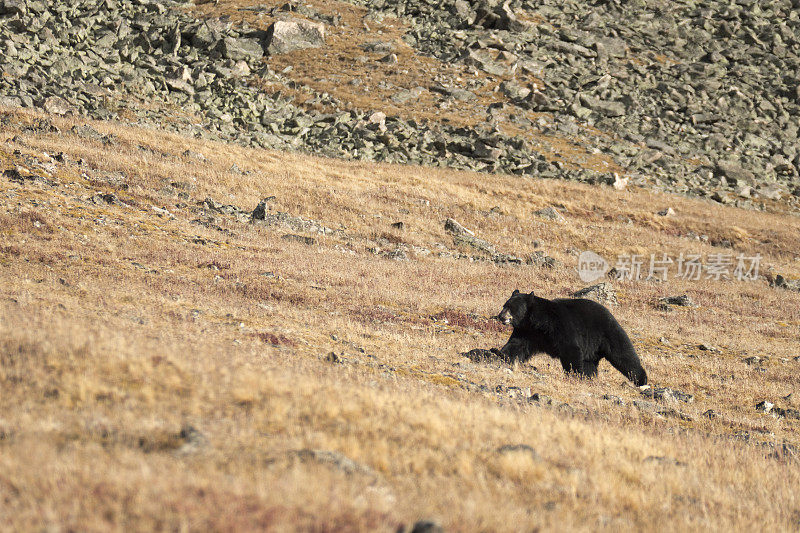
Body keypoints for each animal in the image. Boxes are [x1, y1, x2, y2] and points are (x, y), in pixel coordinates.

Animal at [490, 288, 648, 384]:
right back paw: (589, 377)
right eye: (504, 305)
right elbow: (517, 345)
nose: (500, 316)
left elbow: (570, 348)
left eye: (511, 308)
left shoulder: (561, 326)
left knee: (624, 355)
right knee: (589, 363)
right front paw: (497, 352)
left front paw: (574, 374)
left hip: (608, 333)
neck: (538, 322)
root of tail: (610, 313)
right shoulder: (527, 331)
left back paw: (641, 380)